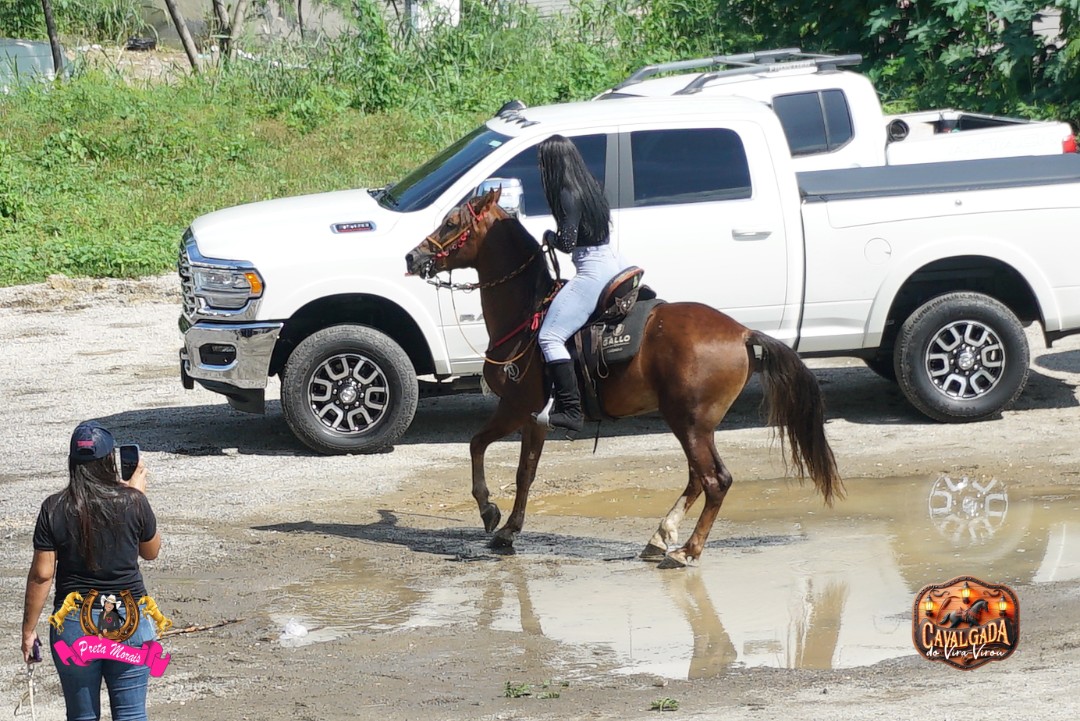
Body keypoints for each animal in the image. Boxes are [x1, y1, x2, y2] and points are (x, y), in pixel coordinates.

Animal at [404, 188, 842, 568]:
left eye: (451, 222)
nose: (412, 256)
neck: (527, 312)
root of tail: (741, 332)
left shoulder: (516, 407)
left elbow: (478, 445)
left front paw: (488, 510)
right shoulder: (533, 419)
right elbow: (524, 472)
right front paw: (509, 529)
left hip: (689, 423)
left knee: (715, 480)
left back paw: (687, 551)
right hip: (693, 425)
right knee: (697, 479)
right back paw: (660, 536)